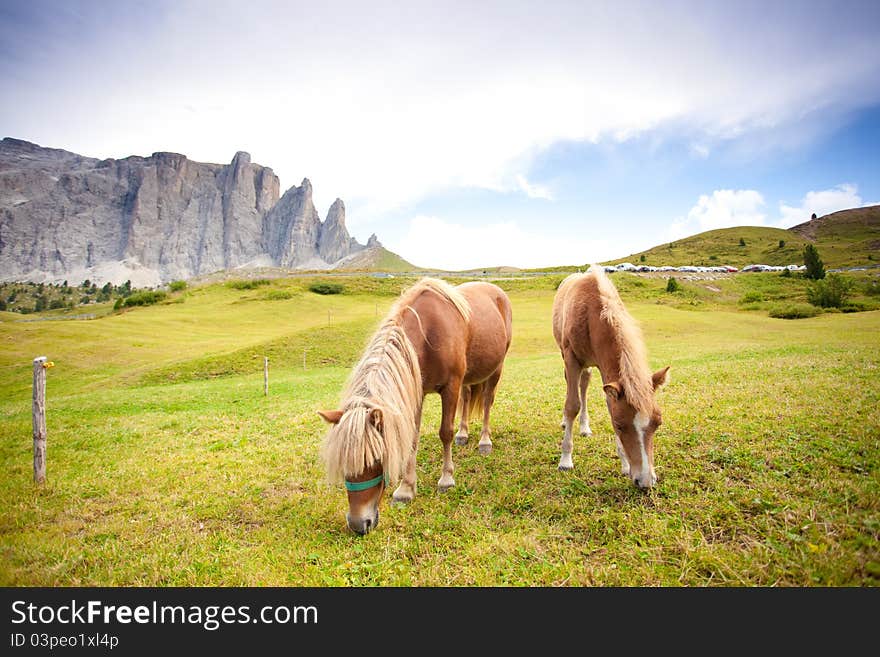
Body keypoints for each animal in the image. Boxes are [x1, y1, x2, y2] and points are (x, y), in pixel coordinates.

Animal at [318, 276, 512, 532]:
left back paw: (484, 441)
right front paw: (406, 489)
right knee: (468, 397)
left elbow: (445, 432)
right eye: (344, 463)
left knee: (488, 401)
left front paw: (446, 479)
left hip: (495, 370)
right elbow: (412, 438)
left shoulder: (450, 387)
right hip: (469, 377)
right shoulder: (417, 391)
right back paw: (463, 434)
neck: (429, 333)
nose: (359, 524)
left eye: (377, 459)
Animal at [552, 262, 672, 486]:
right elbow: (572, 405)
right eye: (619, 424)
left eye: (658, 422)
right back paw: (566, 423)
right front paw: (565, 460)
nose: (645, 481)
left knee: (584, 384)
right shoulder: (571, 358)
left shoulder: (604, 368)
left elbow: (608, 404)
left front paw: (625, 465)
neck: (590, 314)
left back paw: (584, 427)